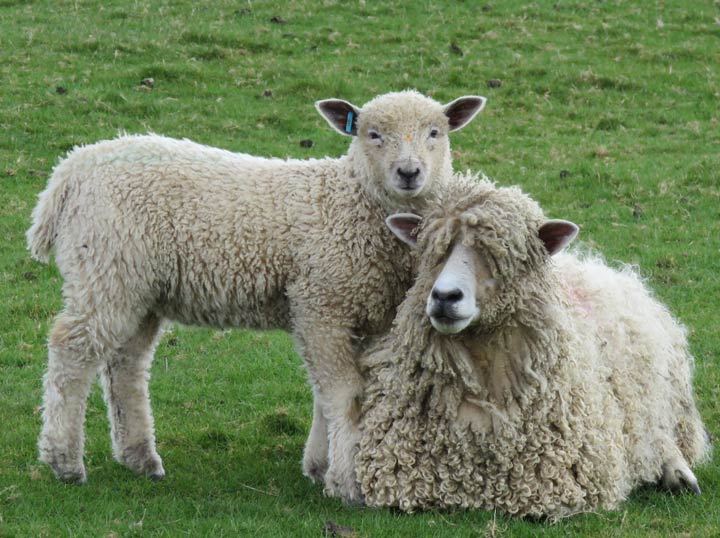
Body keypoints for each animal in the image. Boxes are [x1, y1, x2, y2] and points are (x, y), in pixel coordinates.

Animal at [26, 89, 490, 502]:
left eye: (435, 132)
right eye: (372, 134)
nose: (409, 172)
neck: (350, 199)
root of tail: (70, 170)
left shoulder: (361, 314)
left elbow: (330, 394)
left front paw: (319, 465)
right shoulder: (321, 303)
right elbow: (345, 395)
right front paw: (346, 483)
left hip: (139, 287)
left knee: (126, 363)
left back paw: (139, 457)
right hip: (106, 268)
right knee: (71, 349)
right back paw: (63, 460)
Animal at [354, 175, 708, 516]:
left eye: (501, 255)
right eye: (433, 250)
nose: (444, 296)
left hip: (662, 397)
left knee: (659, 435)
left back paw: (677, 473)